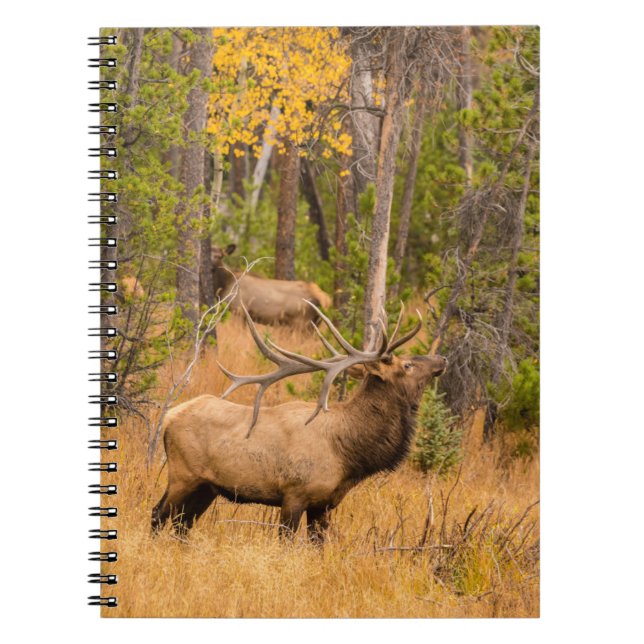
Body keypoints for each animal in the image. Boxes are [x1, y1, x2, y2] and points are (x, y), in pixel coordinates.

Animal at [152, 302, 448, 543]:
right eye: (407, 365)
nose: (442, 358)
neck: (348, 454)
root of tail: (169, 416)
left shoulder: (324, 504)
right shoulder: (294, 493)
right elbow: (286, 542)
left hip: (208, 486)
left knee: (182, 525)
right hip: (183, 474)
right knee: (159, 514)